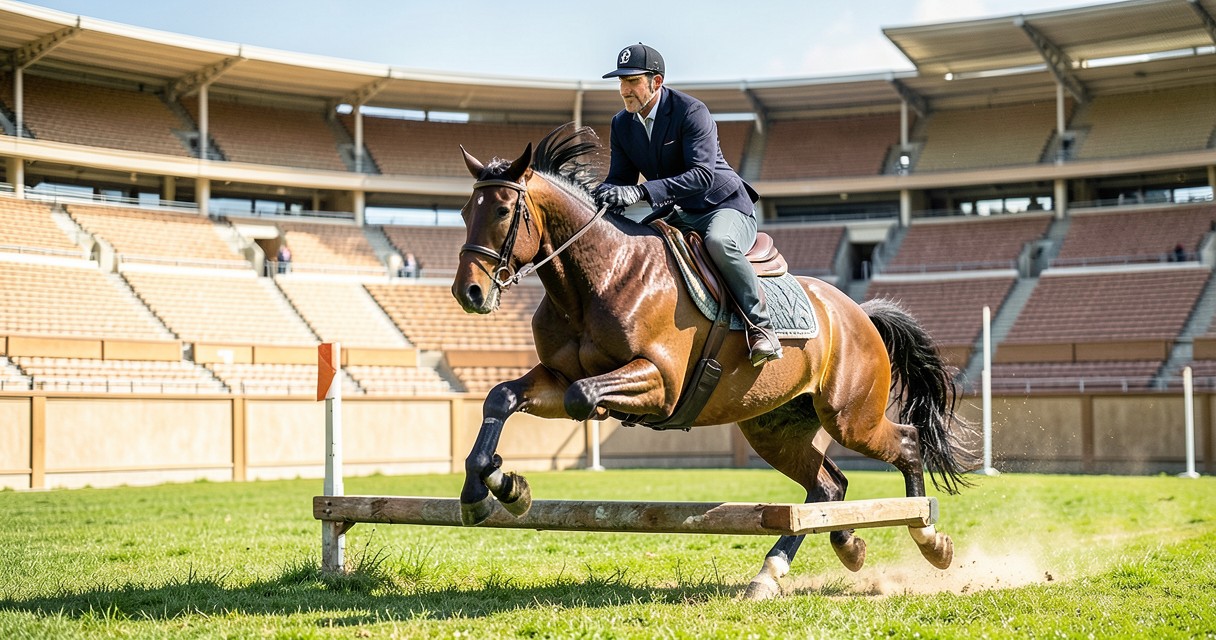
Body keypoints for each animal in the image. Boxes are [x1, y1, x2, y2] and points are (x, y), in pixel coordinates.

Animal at [450, 124, 976, 600]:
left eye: (503, 210)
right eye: (463, 211)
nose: (468, 293)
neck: (597, 278)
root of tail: (857, 313)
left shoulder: (659, 385)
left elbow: (583, 398)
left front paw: (505, 483)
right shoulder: (556, 377)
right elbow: (501, 398)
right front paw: (495, 487)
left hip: (851, 418)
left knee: (906, 444)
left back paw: (931, 541)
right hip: (774, 428)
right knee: (828, 486)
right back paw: (809, 559)